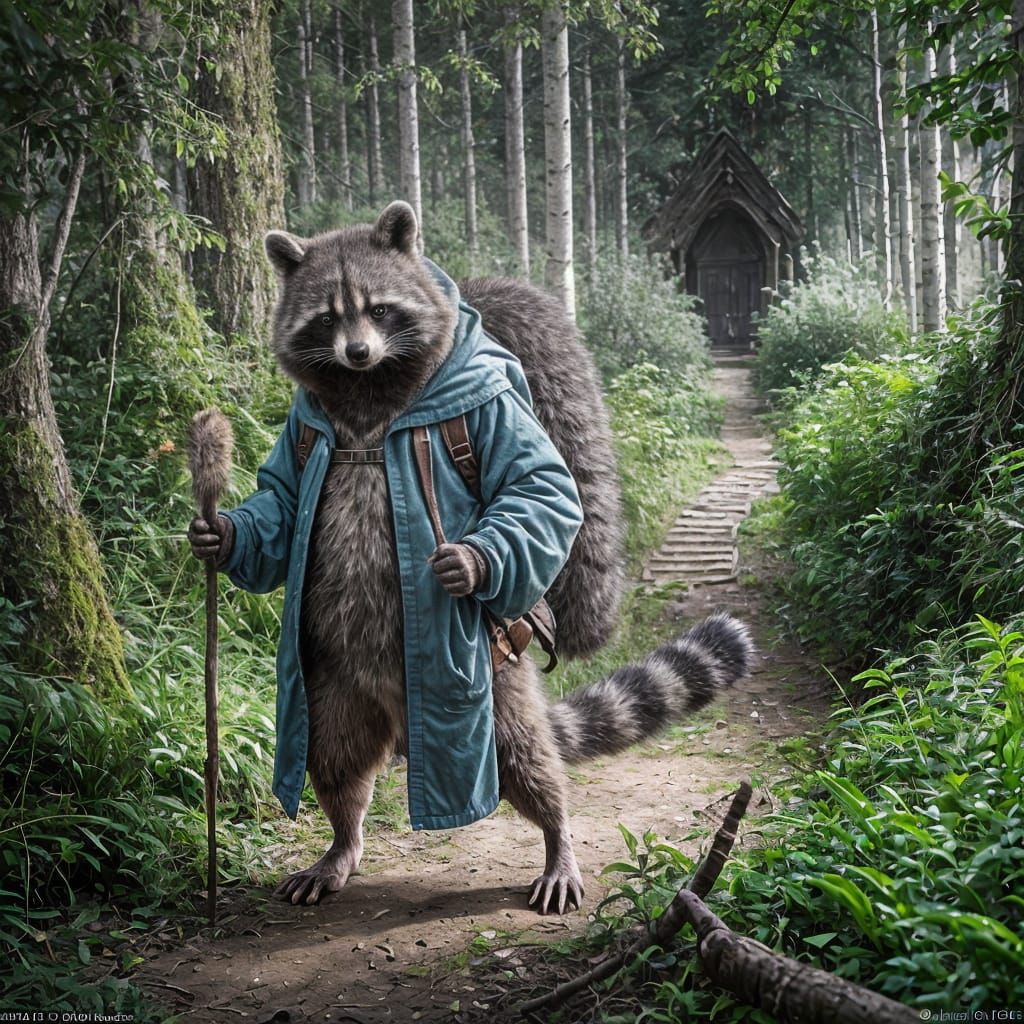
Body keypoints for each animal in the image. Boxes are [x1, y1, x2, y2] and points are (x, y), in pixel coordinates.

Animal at [197, 202, 753, 914]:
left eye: (378, 310)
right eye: (328, 317)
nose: (355, 351)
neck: (367, 385)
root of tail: (396, 719)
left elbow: (538, 485)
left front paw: (476, 558)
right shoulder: (306, 430)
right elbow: (286, 499)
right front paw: (228, 534)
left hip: (494, 688)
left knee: (526, 761)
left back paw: (557, 835)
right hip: (328, 682)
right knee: (335, 758)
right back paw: (343, 839)